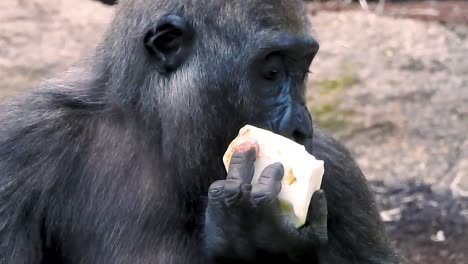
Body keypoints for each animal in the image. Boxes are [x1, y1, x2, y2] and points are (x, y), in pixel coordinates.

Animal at [0, 0, 404, 264]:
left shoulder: (339, 169)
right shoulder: (21, 147)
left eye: (303, 71)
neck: (155, 135)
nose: (301, 127)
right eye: (272, 73)